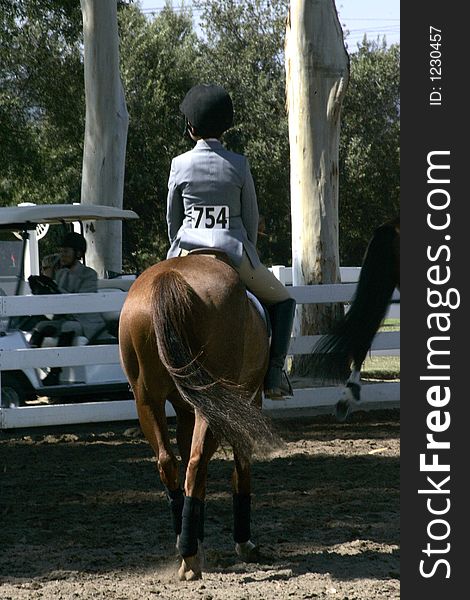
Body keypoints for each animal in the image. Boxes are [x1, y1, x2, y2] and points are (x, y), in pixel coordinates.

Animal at [119, 253, 278, 580]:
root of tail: (168, 278)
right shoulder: (250, 400)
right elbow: (241, 467)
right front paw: (244, 543)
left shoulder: (184, 410)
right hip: (214, 404)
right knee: (195, 465)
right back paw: (191, 560)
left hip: (147, 400)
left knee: (169, 463)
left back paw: (187, 546)